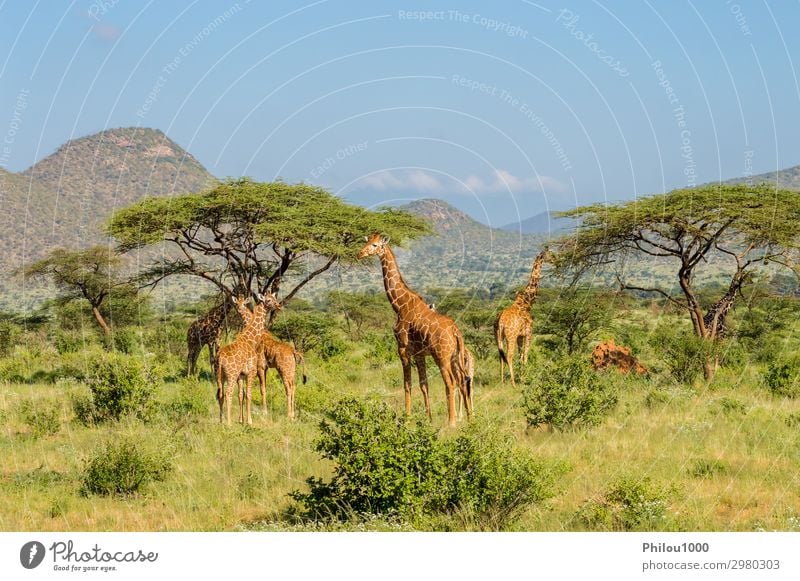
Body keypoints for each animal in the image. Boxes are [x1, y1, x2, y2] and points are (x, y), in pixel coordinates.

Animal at [216, 292, 282, 424]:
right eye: (268, 300)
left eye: (275, 298)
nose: (278, 305)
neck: (250, 339)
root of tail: (219, 359)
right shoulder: (251, 371)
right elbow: (248, 394)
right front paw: (249, 421)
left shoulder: (242, 375)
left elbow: (242, 394)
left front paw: (242, 420)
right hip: (231, 375)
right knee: (228, 393)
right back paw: (229, 423)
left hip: (220, 376)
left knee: (220, 394)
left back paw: (221, 421)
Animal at [354, 231, 468, 426]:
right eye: (367, 242)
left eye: (376, 245)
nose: (360, 254)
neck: (399, 304)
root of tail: (455, 332)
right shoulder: (419, 353)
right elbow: (424, 384)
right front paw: (428, 419)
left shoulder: (403, 349)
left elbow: (407, 384)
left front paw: (406, 419)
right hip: (455, 357)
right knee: (462, 380)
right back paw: (469, 418)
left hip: (442, 356)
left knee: (451, 382)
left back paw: (451, 422)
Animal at [494, 245, 552, 386]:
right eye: (551, 254)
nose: (556, 260)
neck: (527, 302)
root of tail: (500, 321)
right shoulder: (528, 333)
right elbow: (525, 355)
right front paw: (524, 379)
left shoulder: (520, 336)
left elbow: (520, 356)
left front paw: (522, 376)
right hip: (510, 336)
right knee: (509, 356)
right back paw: (513, 383)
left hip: (498, 336)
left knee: (500, 356)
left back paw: (502, 381)